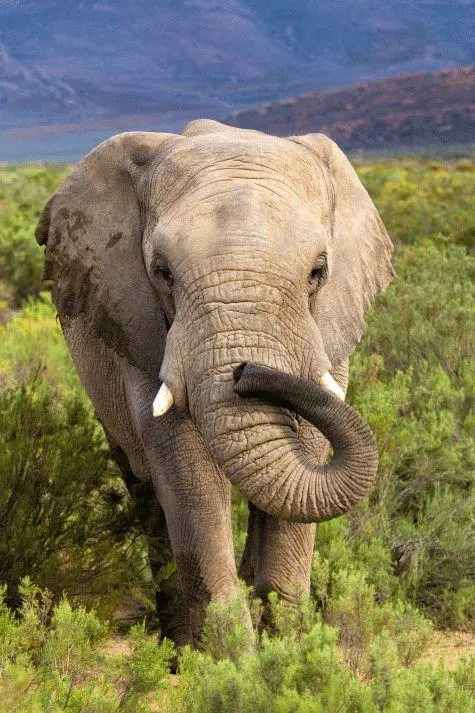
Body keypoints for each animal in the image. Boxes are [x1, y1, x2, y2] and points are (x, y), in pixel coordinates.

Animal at [35, 119, 393, 645]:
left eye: (318, 271)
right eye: (161, 272)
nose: (245, 372)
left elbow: (308, 443)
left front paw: (288, 646)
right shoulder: (139, 325)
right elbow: (185, 467)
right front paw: (232, 657)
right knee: (142, 482)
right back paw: (177, 645)